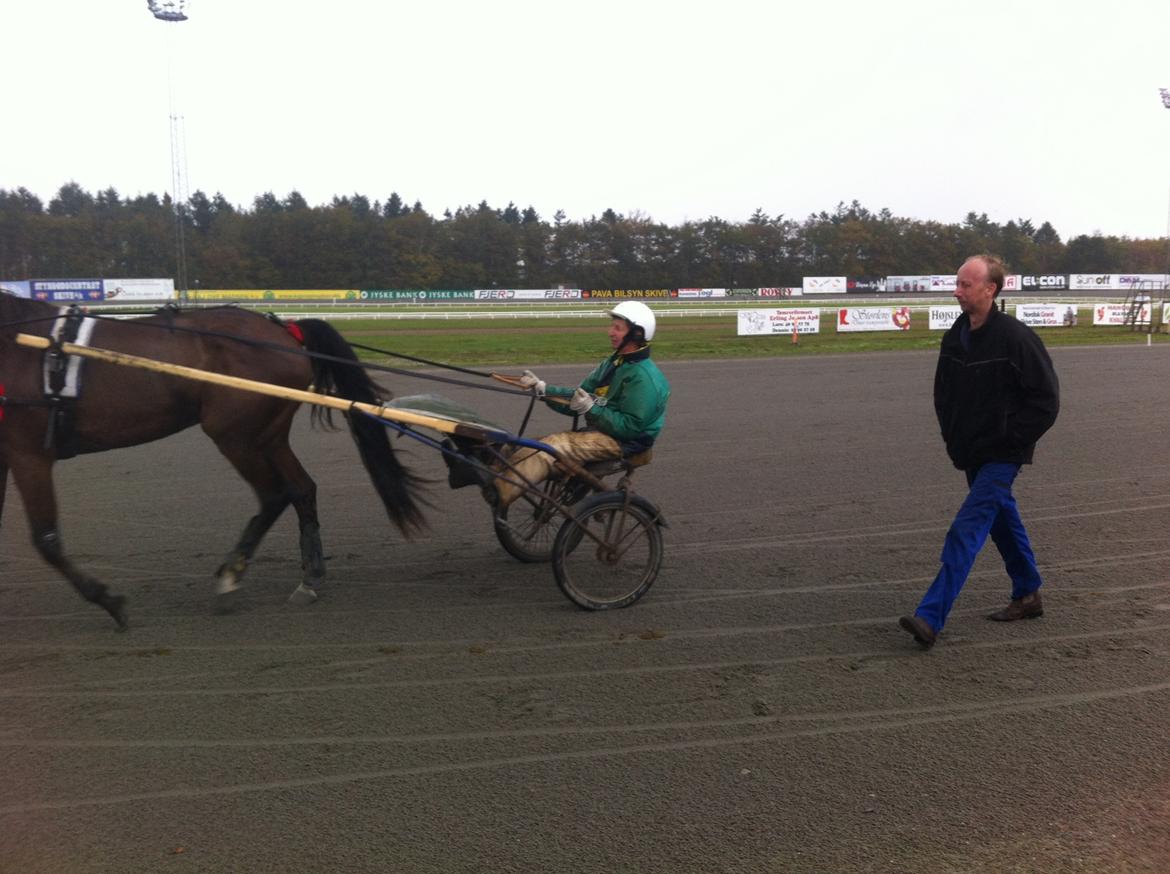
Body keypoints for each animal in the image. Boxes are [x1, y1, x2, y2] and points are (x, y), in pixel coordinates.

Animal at [0, 293, 428, 627]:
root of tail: (284, 330)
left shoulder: (28, 453)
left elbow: (46, 539)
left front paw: (109, 600)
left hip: (234, 434)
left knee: (274, 494)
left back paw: (230, 576)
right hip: (268, 436)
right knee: (301, 489)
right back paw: (310, 579)